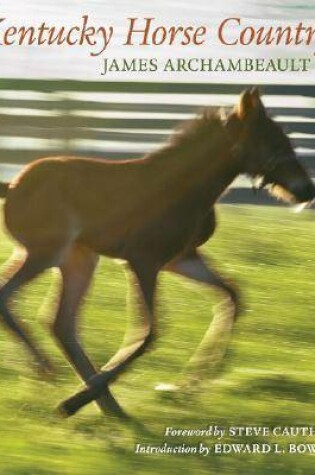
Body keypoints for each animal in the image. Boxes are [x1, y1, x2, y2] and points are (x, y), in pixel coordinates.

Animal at [0, 87, 314, 418]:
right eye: (273, 142)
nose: (307, 190)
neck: (182, 188)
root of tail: (13, 185)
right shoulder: (143, 262)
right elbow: (149, 332)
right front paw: (73, 400)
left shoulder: (180, 259)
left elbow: (232, 295)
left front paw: (193, 384)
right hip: (46, 253)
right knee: (11, 297)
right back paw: (51, 374)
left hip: (79, 259)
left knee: (61, 323)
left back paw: (107, 404)